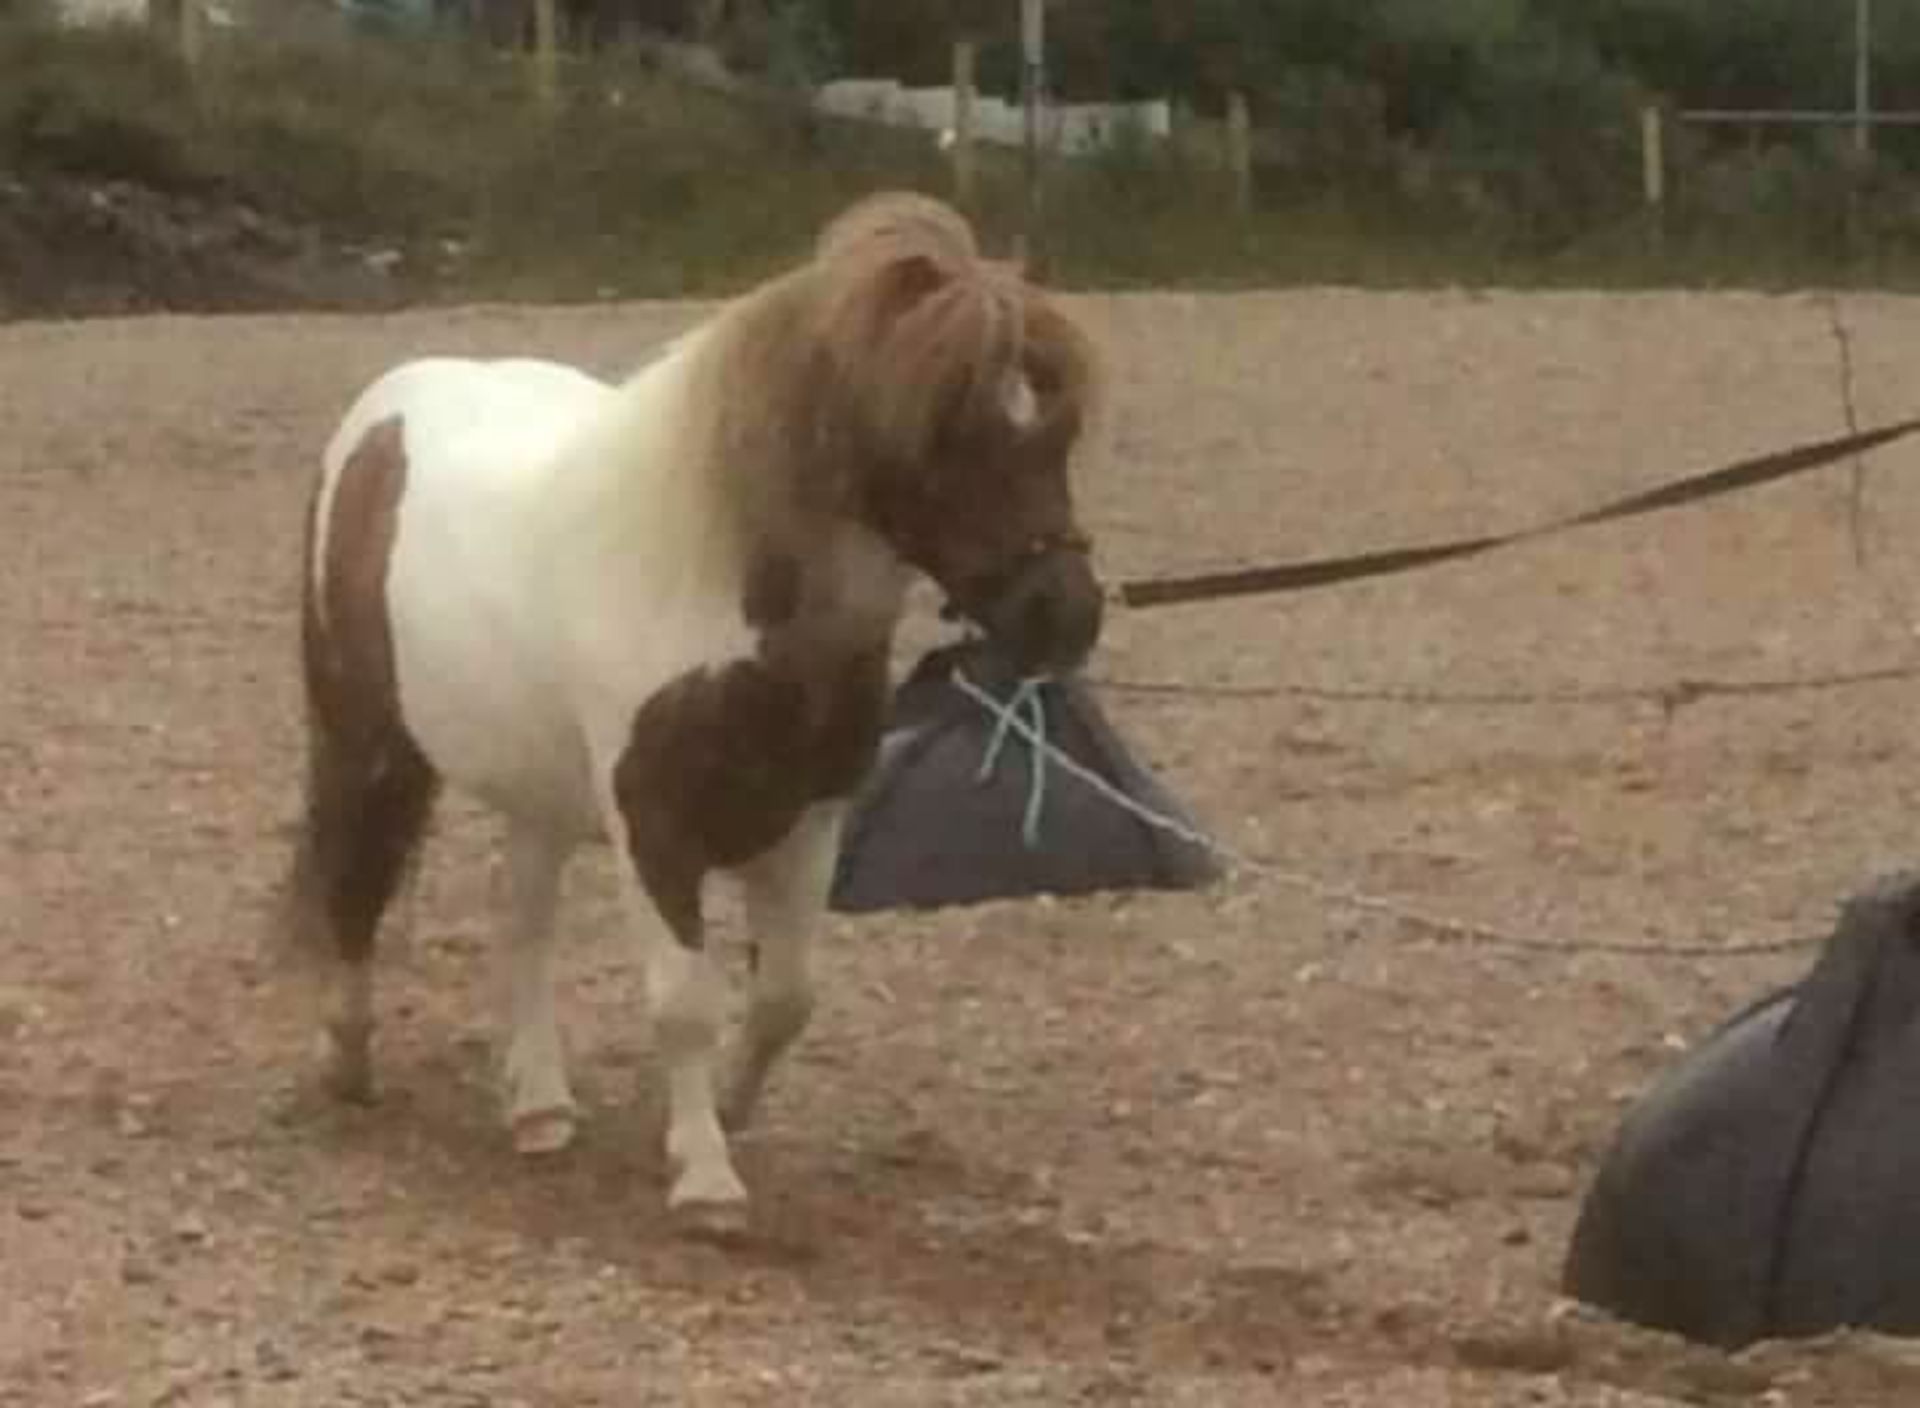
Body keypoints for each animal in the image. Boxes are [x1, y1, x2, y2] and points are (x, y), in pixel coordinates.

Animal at [278, 192, 1105, 1221]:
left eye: (1059, 434)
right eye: (948, 428)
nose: (1065, 614)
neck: (723, 593)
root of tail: (387, 408)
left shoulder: (808, 823)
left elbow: (785, 997)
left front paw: (726, 1114)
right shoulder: (654, 826)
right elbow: (684, 1001)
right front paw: (706, 1178)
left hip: (538, 786)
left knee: (525, 928)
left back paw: (539, 1106)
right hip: (368, 740)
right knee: (355, 881)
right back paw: (348, 1058)